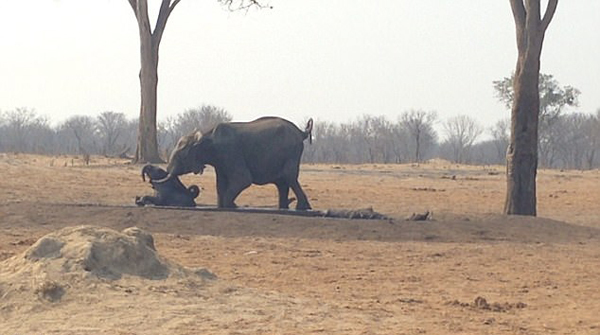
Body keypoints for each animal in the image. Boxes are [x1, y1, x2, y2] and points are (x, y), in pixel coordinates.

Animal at [155, 116, 314, 210]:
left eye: (181, 156)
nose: (152, 182)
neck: (206, 136)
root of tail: (301, 132)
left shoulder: (230, 152)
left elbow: (243, 179)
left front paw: (231, 206)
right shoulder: (220, 160)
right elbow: (220, 183)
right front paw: (222, 206)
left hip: (291, 153)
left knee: (289, 177)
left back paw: (302, 208)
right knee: (282, 182)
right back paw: (284, 208)